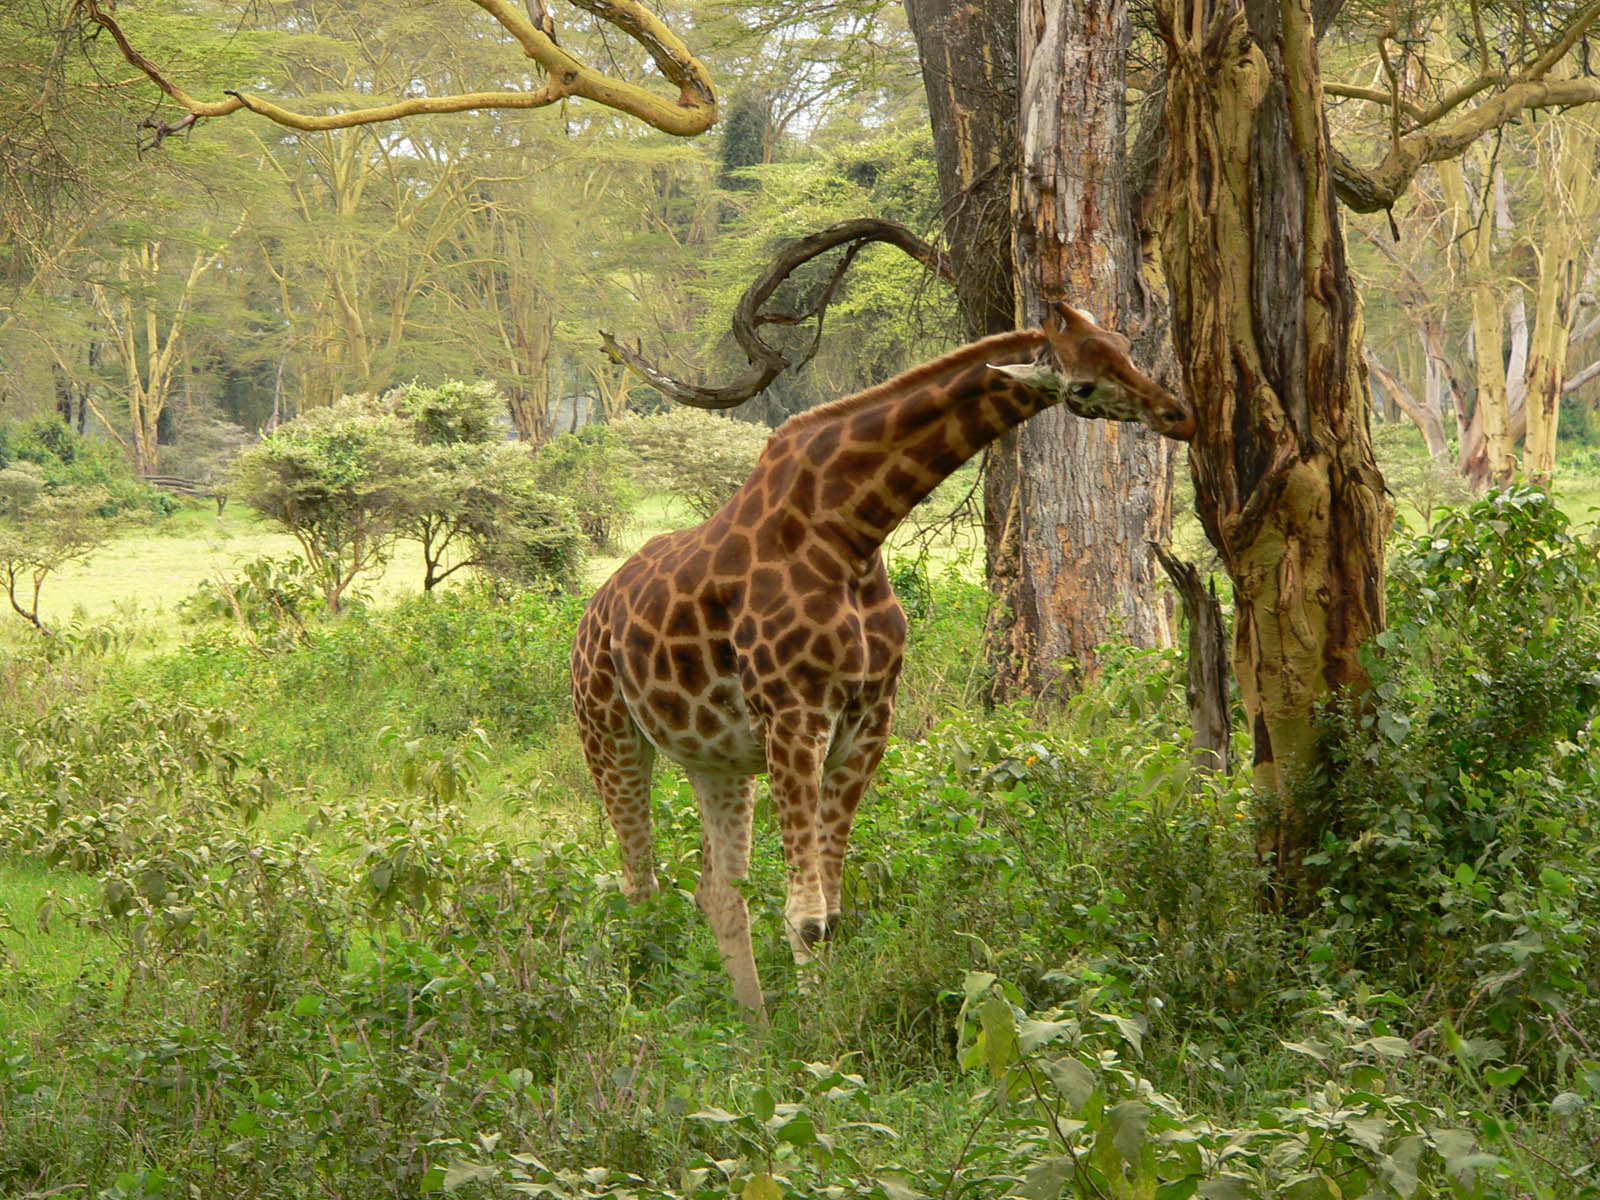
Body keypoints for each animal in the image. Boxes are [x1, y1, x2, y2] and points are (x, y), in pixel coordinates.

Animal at [569, 302, 1196, 1017]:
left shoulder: (869, 722)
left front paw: (812, 1024)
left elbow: (832, 910)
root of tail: (590, 617)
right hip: (607, 732)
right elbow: (806, 914)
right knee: (638, 886)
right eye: (1084, 385)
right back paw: (648, 1021)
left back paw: (753, 1029)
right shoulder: (795, 719)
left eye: (1124, 344)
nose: (1177, 413)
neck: (851, 533)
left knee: (717, 891)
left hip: (715, 760)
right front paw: (817, 1033)